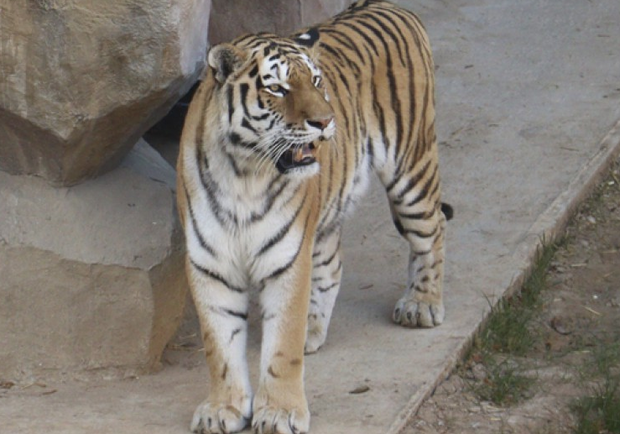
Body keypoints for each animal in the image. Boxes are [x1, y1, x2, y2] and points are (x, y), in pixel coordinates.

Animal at [174, 0, 450, 434]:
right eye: (277, 88)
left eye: (317, 82)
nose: (325, 121)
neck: (243, 174)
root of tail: (387, 5)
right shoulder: (210, 264)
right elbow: (219, 348)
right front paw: (223, 409)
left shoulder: (287, 257)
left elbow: (282, 348)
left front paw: (280, 413)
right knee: (332, 263)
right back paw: (314, 329)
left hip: (412, 168)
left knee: (432, 230)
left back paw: (421, 305)